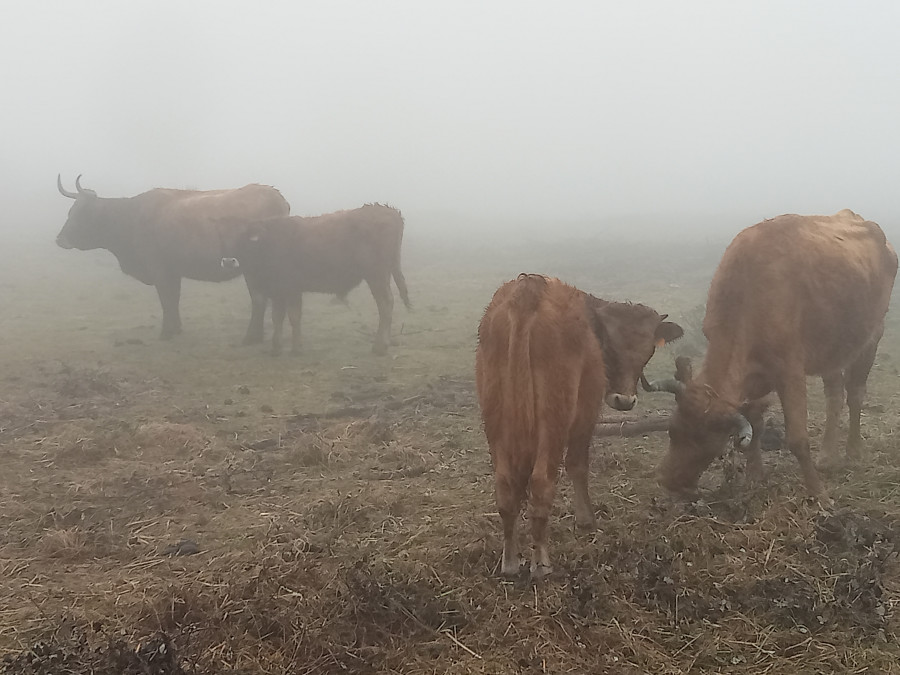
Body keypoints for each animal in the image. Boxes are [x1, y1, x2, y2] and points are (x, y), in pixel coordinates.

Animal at [57, 176, 288, 340]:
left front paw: (166, 332)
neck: (131, 217)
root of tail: (276, 196)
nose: (60, 239)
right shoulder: (173, 271)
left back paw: (252, 337)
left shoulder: (160, 270)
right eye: (69, 212)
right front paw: (176, 329)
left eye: (81, 214)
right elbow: (173, 299)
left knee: (258, 300)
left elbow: (166, 300)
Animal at [221, 203, 412, 356]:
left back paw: (380, 346)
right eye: (231, 240)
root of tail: (388, 211)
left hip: (377, 276)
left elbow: (293, 316)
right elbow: (277, 317)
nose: (229, 261)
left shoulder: (292, 290)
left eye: (245, 240)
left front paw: (296, 348)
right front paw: (276, 347)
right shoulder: (278, 292)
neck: (271, 242)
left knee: (386, 304)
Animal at [474, 272, 680, 580]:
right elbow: (577, 465)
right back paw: (541, 564)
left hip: (495, 418)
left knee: (505, 486)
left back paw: (510, 562)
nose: (624, 400)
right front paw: (586, 520)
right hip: (555, 420)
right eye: (610, 348)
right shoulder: (586, 413)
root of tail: (528, 288)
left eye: (648, 352)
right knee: (541, 482)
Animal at [644, 211, 896, 502]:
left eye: (706, 444)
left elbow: (797, 437)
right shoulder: (754, 374)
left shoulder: (790, 370)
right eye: (673, 431)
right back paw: (827, 457)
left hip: (873, 335)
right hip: (831, 350)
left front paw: (818, 493)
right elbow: (755, 420)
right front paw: (755, 475)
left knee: (855, 393)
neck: (749, 290)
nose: (668, 481)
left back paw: (854, 453)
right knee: (834, 395)